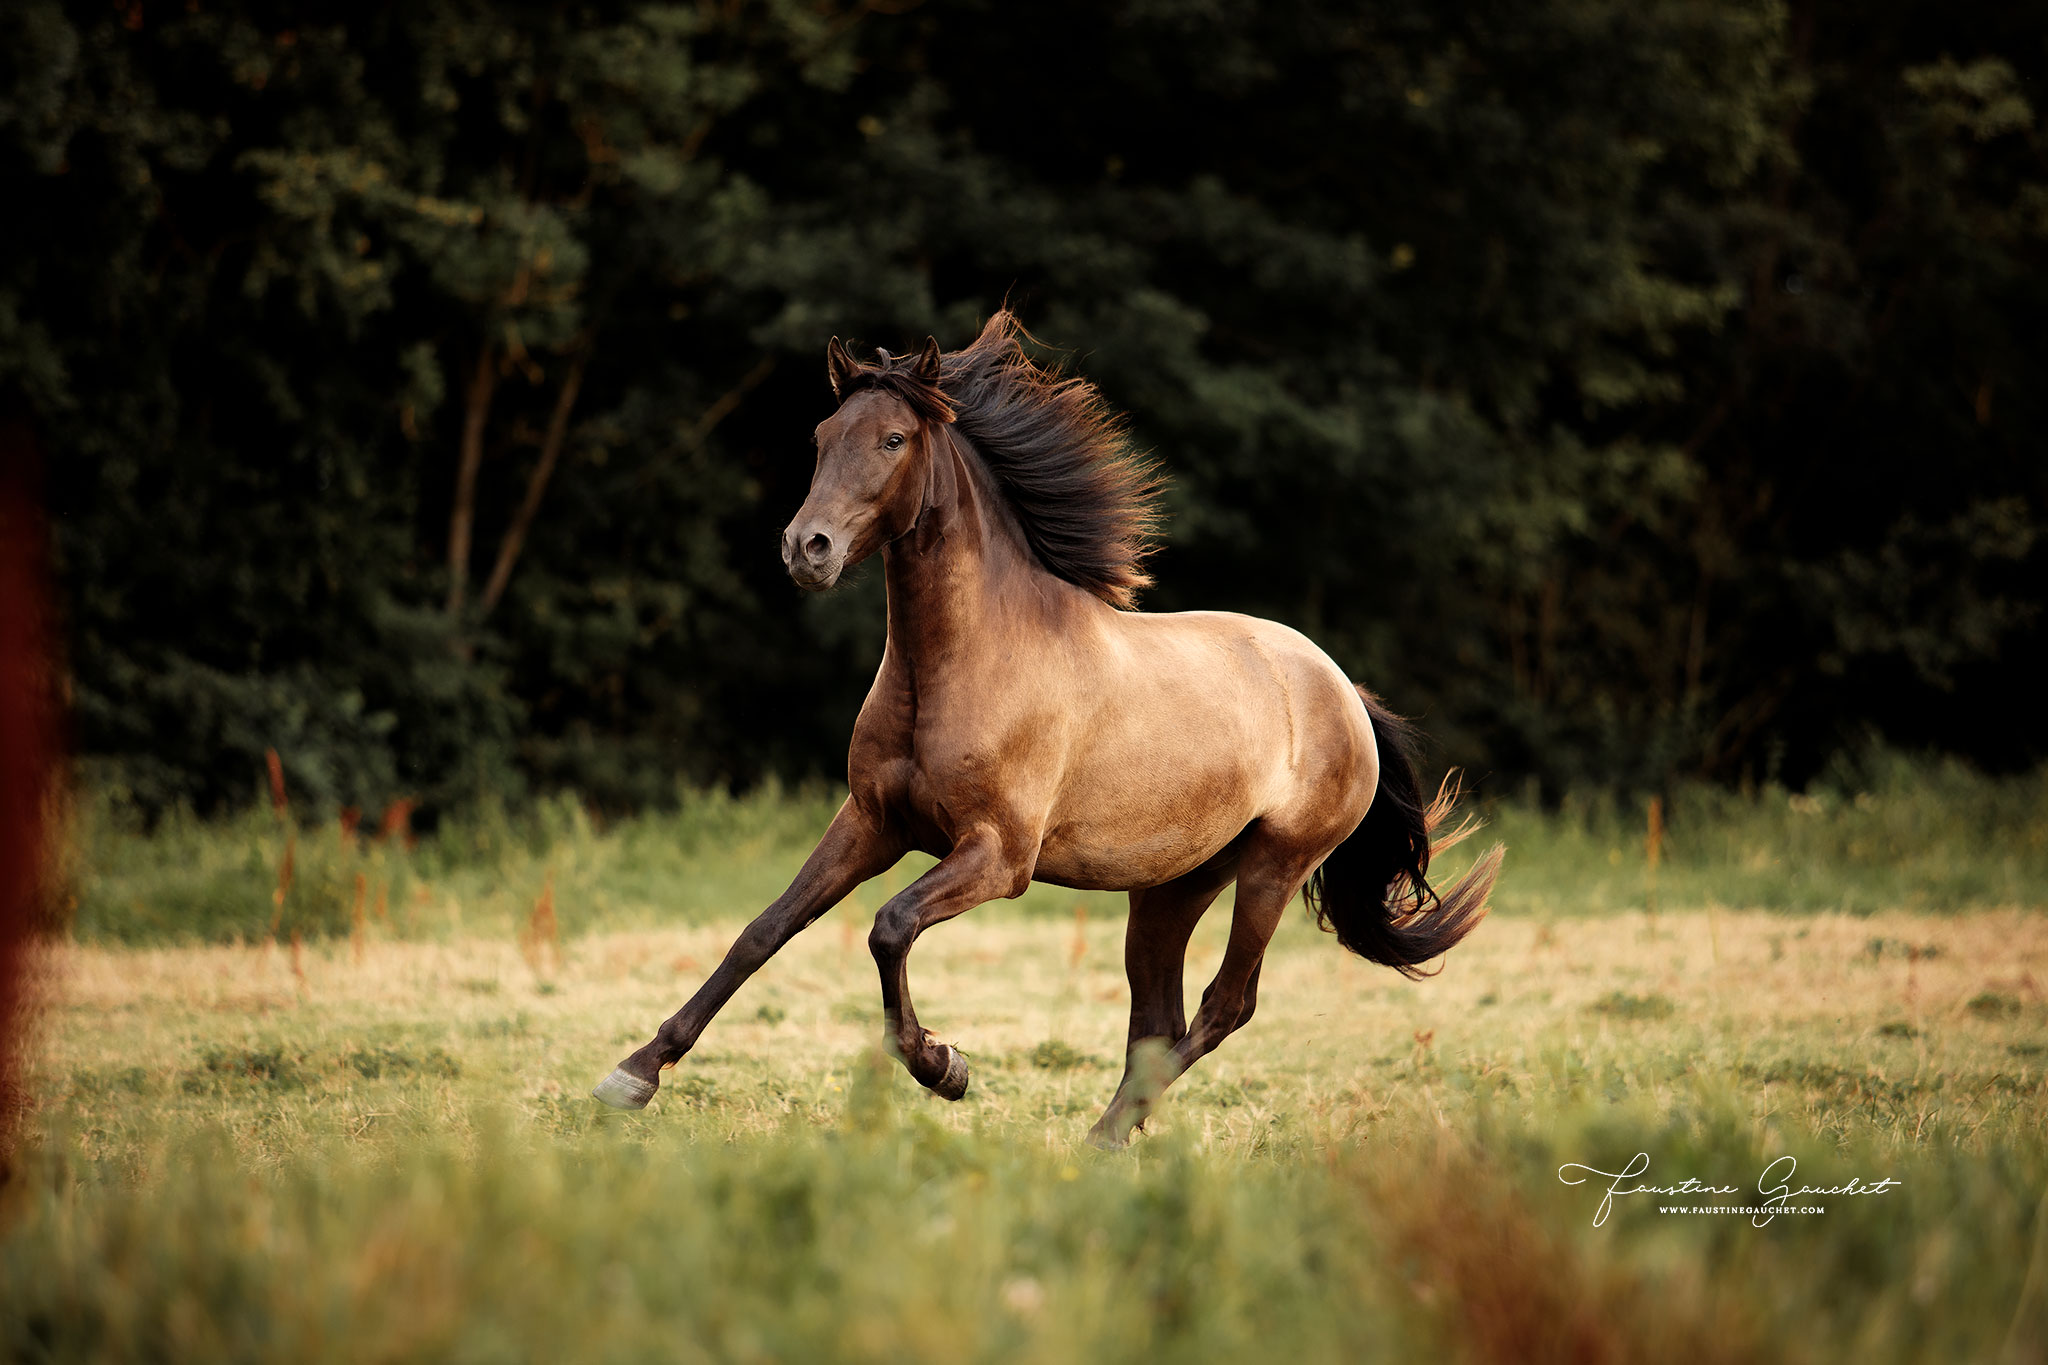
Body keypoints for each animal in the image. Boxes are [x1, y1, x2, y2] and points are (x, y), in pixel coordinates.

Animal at [593, 309, 1507, 1146]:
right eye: (822, 436)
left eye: (893, 438)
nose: (805, 549)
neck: (961, 663)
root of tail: (1344, 691)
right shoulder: (871, 822)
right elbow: (764, 930)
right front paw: (633, 1073)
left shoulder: (999, 856)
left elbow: (889, 928)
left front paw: (944, 1065)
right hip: (1173, 884)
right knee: (1159, 1019)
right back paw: (1113, 1138)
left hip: (1273, 868)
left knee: (1224, 1007)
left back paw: (1099, 1138)